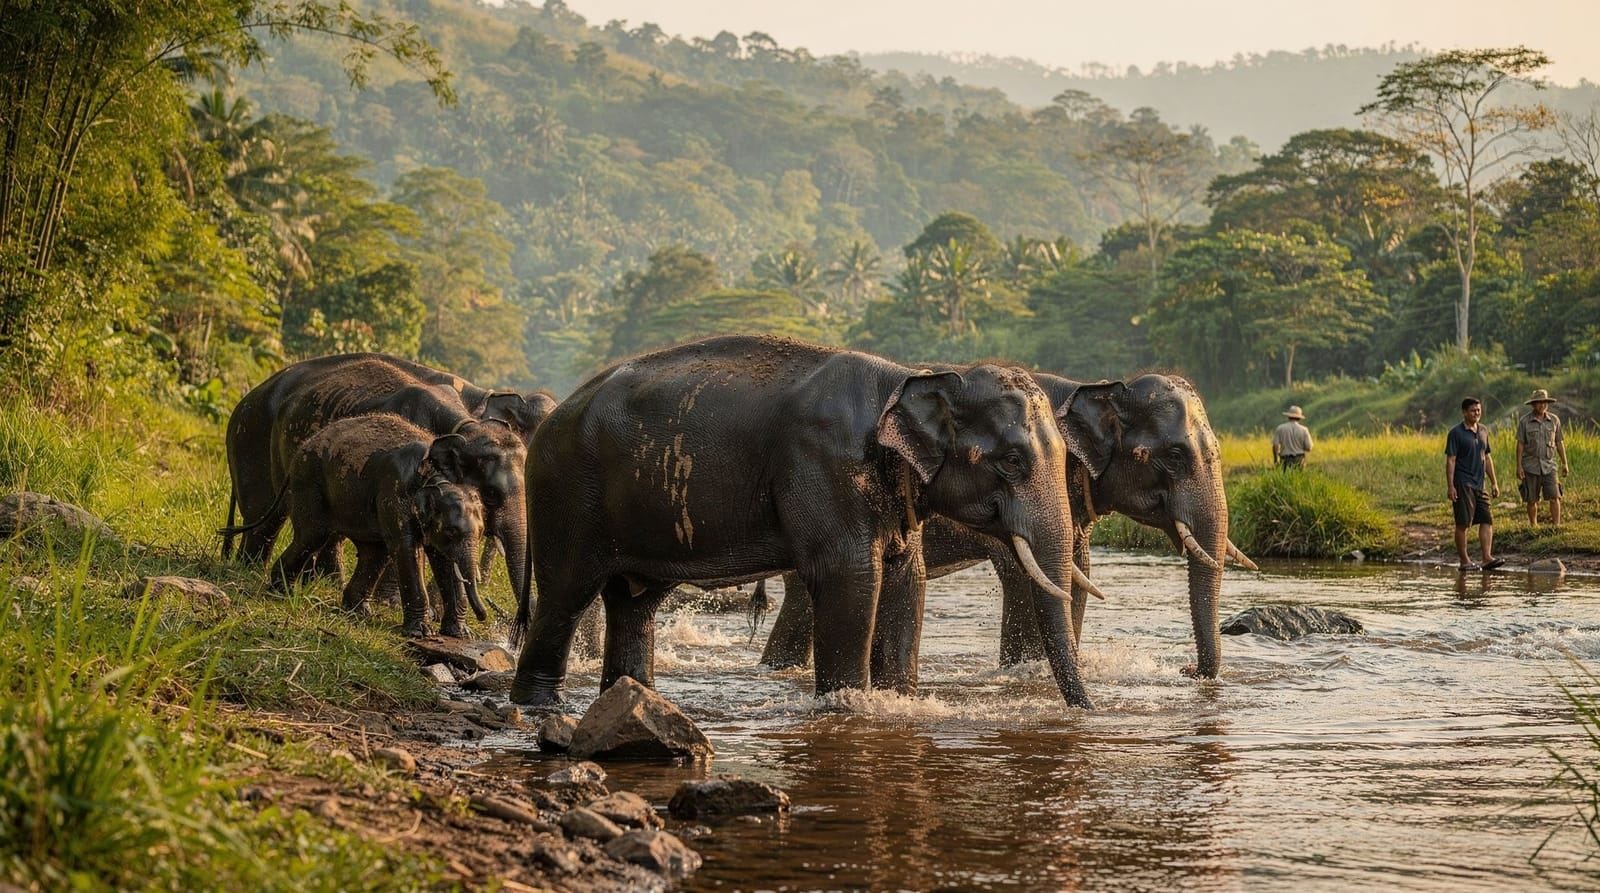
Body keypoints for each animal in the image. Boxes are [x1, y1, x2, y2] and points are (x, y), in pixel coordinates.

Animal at [222, 413, 488, 637]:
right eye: (451, 531)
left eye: (482, 532)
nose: (483, 617)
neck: (436, 476)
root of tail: (302, 449)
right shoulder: (395, 493)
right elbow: (407, 550)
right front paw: (421, 633)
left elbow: (444, 562)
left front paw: (461, 634)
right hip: (309, 481)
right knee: (313, 536)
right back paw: (281, 591)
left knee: (374, 552)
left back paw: (357, 612)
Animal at [508, 334, 1100, 710]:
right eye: (1012, 461)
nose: (1087, 711)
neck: (906, 376)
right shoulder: (823, 466)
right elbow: (852, 577)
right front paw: (847, 706)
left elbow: (906, 579)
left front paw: (898, 701)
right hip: (566, 494)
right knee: (566, 595)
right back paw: (540, 706)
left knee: (635, 601)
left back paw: (634, 698)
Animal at [760, 372, 1254, 683]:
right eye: (1174, 456)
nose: (1186, 671)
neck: (1100, 387)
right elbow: (1026, 573)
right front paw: (1028, 671)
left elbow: (1075, 575)